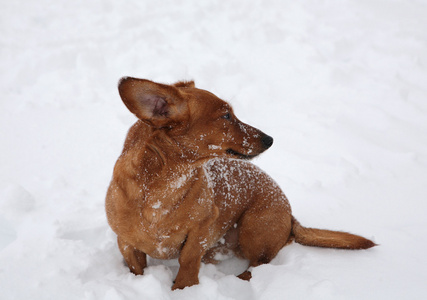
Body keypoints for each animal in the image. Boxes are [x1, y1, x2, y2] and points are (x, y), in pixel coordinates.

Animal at [105, 77, 376, 290]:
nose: (270, 139)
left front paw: (184, 289)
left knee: (258, 266)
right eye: (226, 115)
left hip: (253, 228)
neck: (163, 190)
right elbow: (136, 269)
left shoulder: (202, 230)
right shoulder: (126, 243)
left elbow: (189, 261)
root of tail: (292, 218)